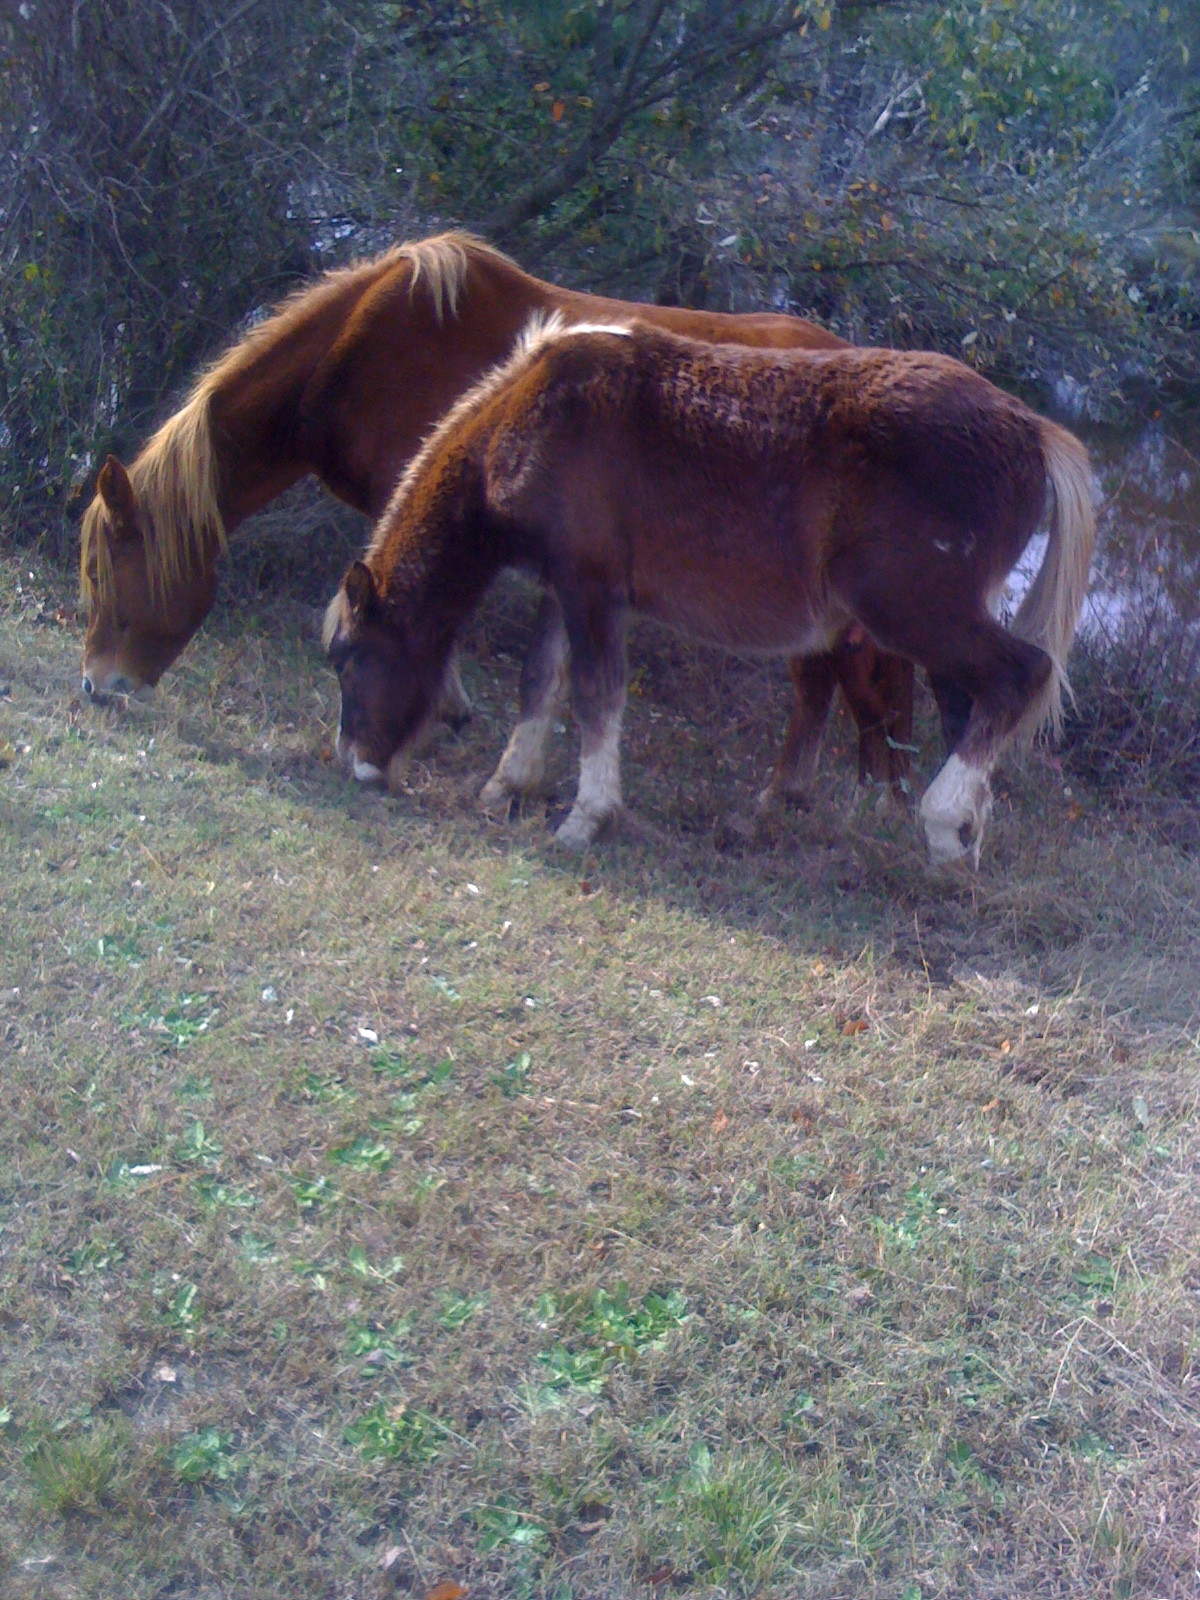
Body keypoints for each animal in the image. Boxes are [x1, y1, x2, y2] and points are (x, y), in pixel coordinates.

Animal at [78, 230, 913, 807]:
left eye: (111, 572)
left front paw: (447, 716)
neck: (358, 351)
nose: (98, 686)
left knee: (818, 679)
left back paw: (790, 795)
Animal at [323, 316, 1094, 867]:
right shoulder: (564, 584)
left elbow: (597, 697)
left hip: (913, 611)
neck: (537, 416)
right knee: (966, 707)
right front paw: (509, 785)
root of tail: (1033, 431)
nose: (354, 763)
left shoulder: (595, 590)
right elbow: (539, 682)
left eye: (348, 660)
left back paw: (943, 823)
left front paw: (586, 818)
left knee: (1018, 675)